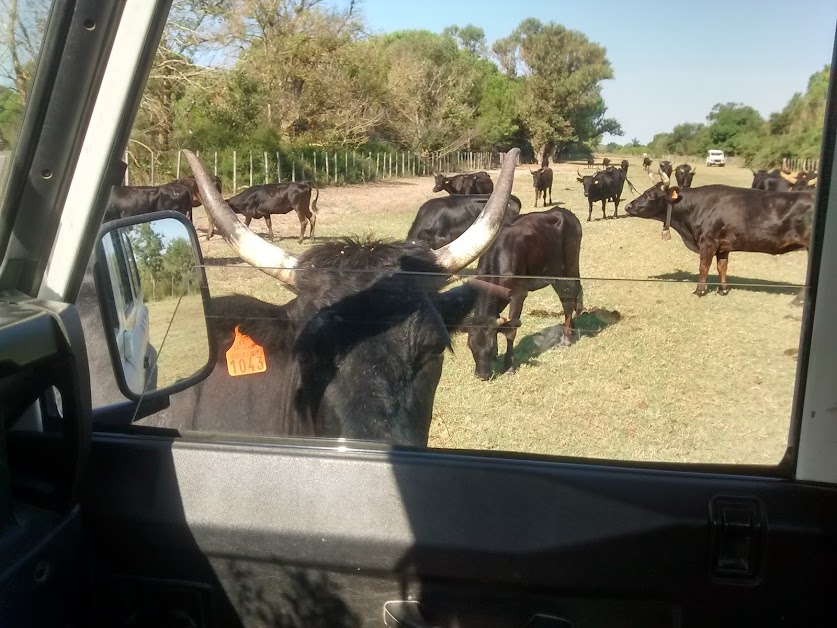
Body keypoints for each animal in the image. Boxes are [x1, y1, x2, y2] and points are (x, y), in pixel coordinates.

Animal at [464, 209, 580, 380]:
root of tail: (563, 211)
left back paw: (566, 338)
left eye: (490, 345)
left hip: (569, 268)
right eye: (470, 345)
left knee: (569, 300)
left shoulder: (518, 294)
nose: (481, 375)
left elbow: (511, 330)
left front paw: (509, 366)